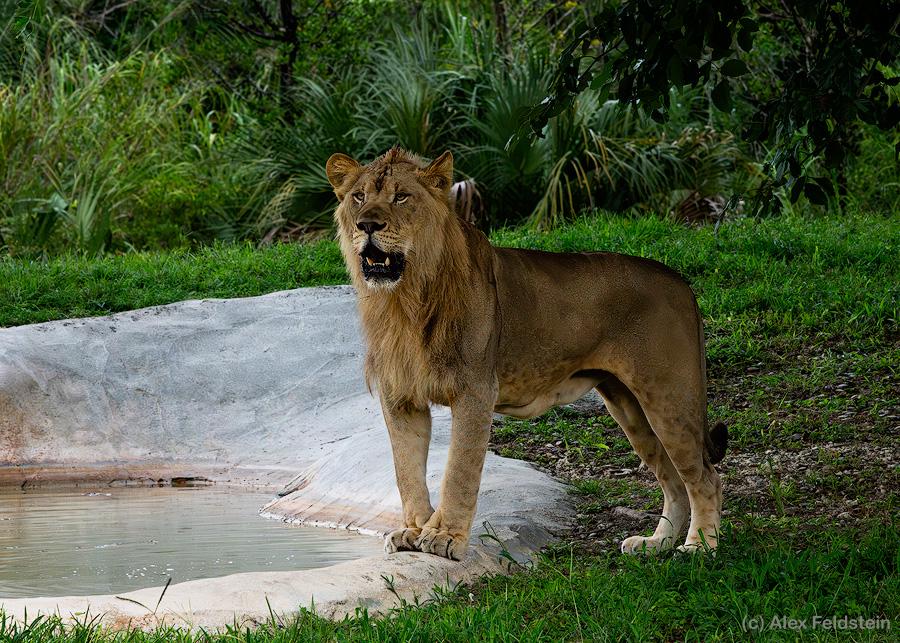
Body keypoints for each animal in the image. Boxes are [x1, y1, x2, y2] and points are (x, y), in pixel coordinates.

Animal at [326, 147, 727, 560]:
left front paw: (444, 537)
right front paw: (413, 530)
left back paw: (699, 547)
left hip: (667, 398)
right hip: (629, 407)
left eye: (401, 197)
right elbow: (406, 471)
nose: (367, 224)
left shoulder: (475, 391)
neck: (404, 300)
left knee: (706, 479)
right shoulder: (400, 397)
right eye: (358, 197)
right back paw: (656, 543)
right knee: (674, 481)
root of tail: (681, 282)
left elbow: (459, 471)